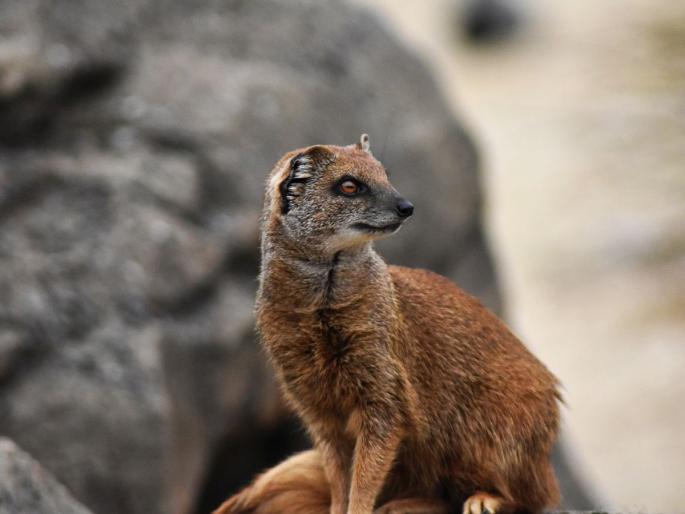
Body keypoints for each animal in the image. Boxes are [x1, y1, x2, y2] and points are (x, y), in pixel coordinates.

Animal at [214, 134, 561, 514]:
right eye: (349, 185)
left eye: (385, 175)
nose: (406, 206)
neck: (322, 316)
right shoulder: (312, 401)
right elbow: (339, 474)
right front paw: (338, 507)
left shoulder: (385, 384)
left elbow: (367, 471)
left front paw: (359, 507)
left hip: (497, 427)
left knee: (533, 495)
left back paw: (482, 500)